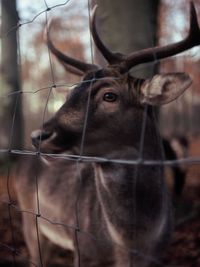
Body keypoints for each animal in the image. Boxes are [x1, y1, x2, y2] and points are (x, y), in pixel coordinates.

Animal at [15, 2, 200, 267]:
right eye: (71, 92)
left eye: (109, 95)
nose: (38, 135)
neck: (130, 245)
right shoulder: (83, 251)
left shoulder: (157, 255)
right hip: (29, 219)